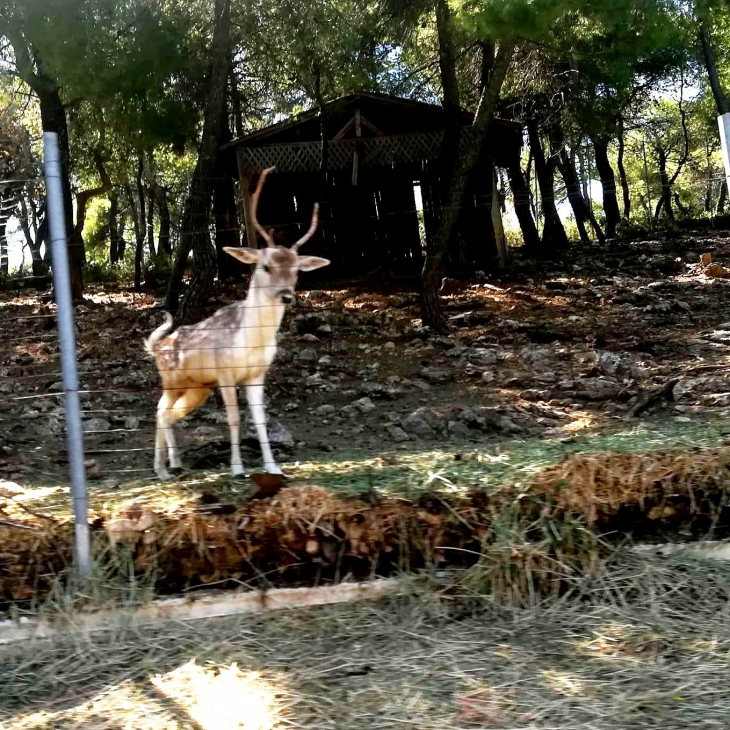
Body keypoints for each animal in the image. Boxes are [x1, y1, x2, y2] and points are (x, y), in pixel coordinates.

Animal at [145, 168, 328, 480]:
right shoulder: (225, 372)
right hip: (171, 379)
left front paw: (274, 467)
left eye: (296, 271)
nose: (286, 295)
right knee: (160, 411)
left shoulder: (257, 375)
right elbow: (233, 419)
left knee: (167, 412)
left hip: (198, 387)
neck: (249, 342)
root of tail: (156, 347)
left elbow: (261, 420)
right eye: (265, 265)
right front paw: (237, 468)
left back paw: (174, 463)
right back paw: (163, 469)